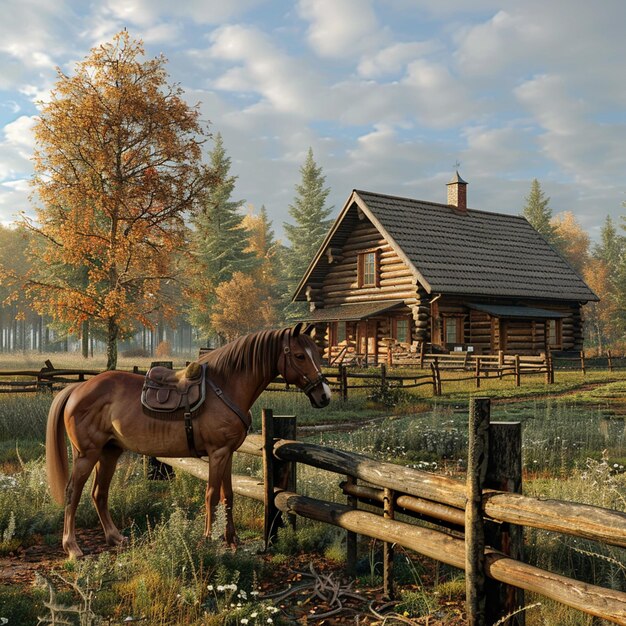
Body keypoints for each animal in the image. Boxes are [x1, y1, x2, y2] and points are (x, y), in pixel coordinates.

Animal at [46, 322, 330, 556]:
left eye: (317, 354)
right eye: (300, 355)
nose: (324, 396)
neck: (225, 387)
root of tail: (77, 388)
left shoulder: (227, 453)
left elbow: (228, 496)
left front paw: (232, 540)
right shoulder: (217, 453)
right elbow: (212, 495)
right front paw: (208, 539)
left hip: (109, 452)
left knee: (99, 493)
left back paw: (115, 538)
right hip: (87, 454)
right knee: (73, 493)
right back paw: (72, 547)